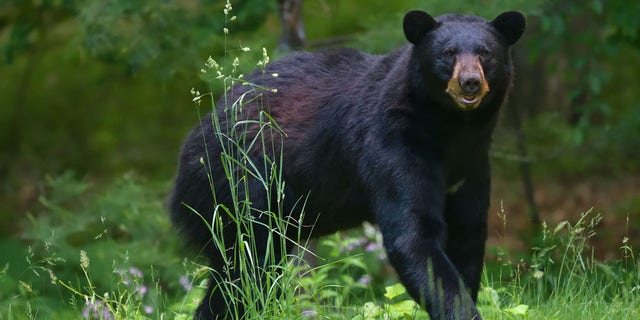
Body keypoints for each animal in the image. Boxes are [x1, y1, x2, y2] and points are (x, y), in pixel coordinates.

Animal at [169, 9, 524, 320]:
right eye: (448, 53)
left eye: (486, 53)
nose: (470, 82)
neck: (450, 130)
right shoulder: (394, 146)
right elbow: (413, 236)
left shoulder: (472, 164)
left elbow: (467, 233)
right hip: (238, 187)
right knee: (247, 267)